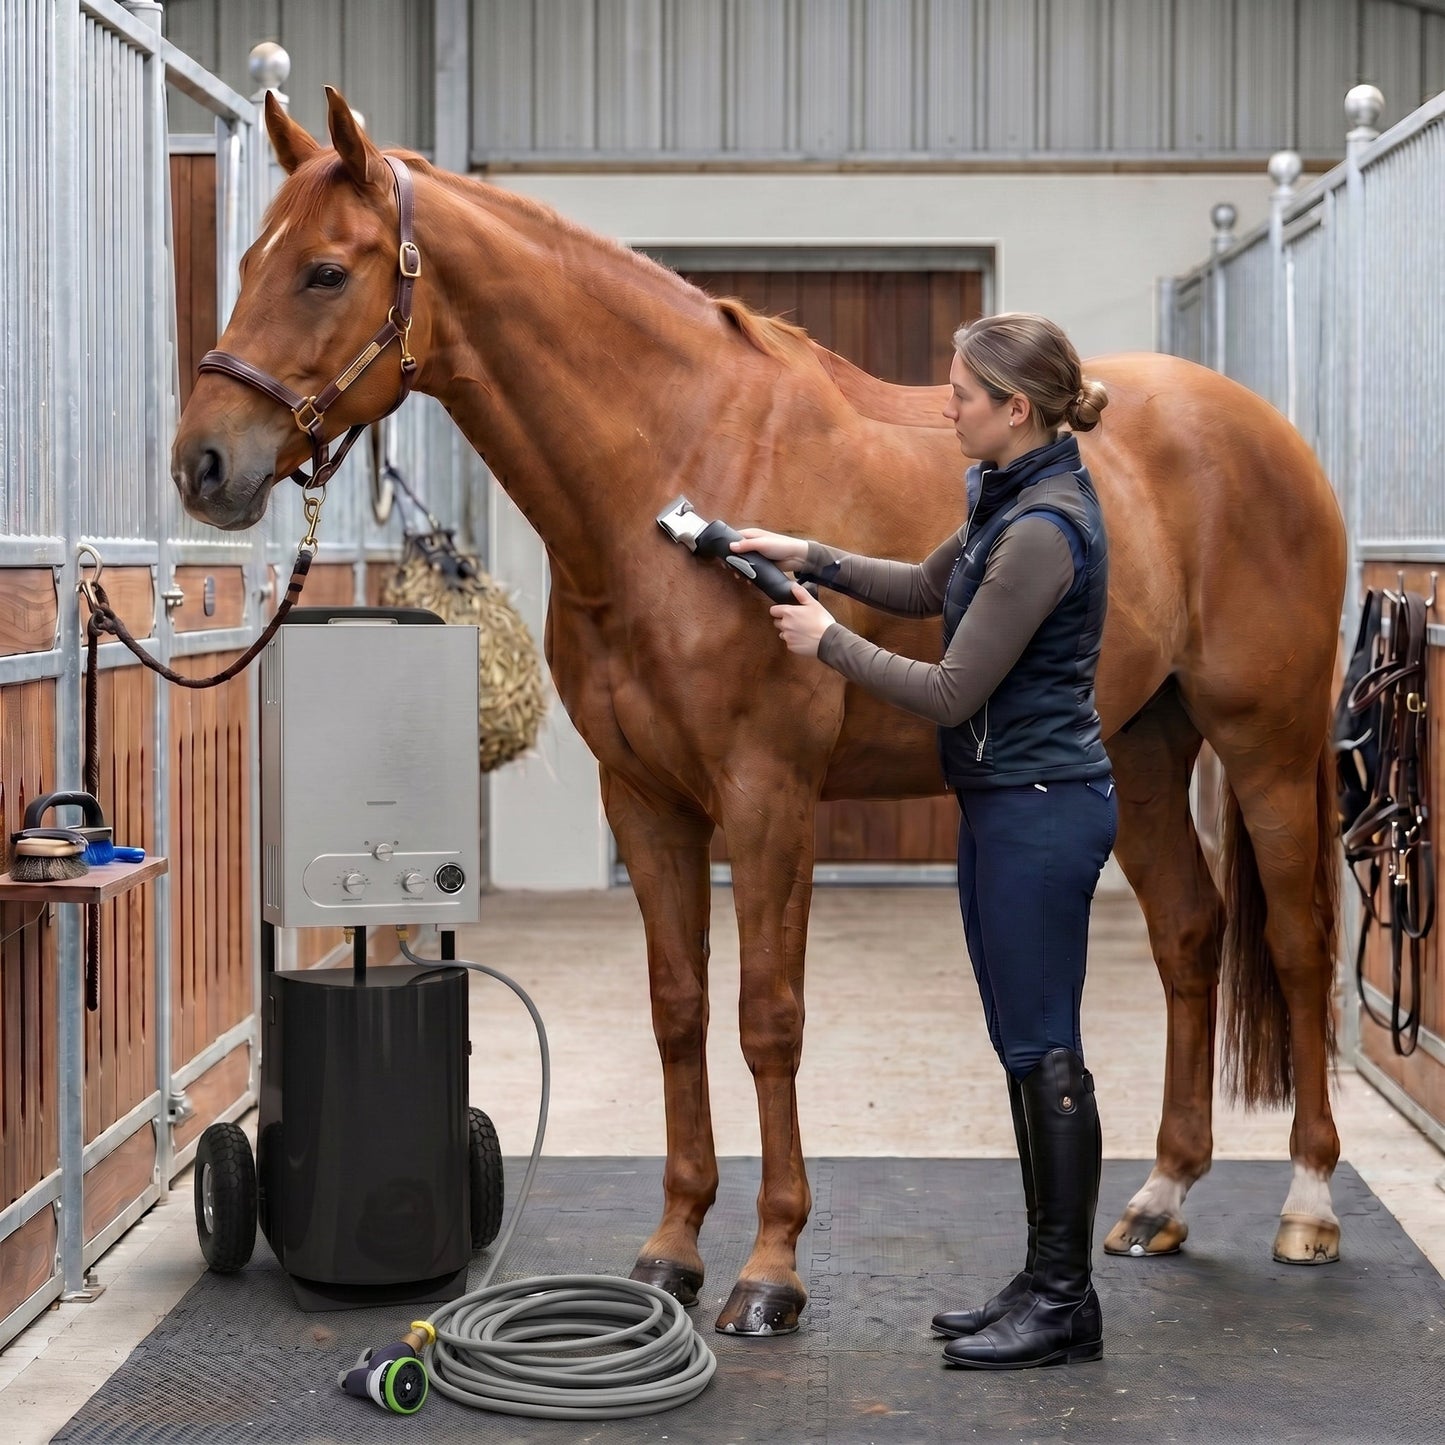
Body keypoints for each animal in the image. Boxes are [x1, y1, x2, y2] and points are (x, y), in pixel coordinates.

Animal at [172, 89, 1347, 1336]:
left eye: (325, 272)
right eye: (249, 261)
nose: (202, 464)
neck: (673, 462)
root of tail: (1269, 436)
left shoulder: (767, 793)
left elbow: (767, 1014)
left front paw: (770, 1266)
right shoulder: (645, 798)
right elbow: (678, 1008)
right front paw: (672, 1246)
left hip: (1263, 743)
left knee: (1295, 941)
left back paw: (1307, 1203)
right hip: (1139, 747)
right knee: (1187, 933)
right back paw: (1160, 1196)